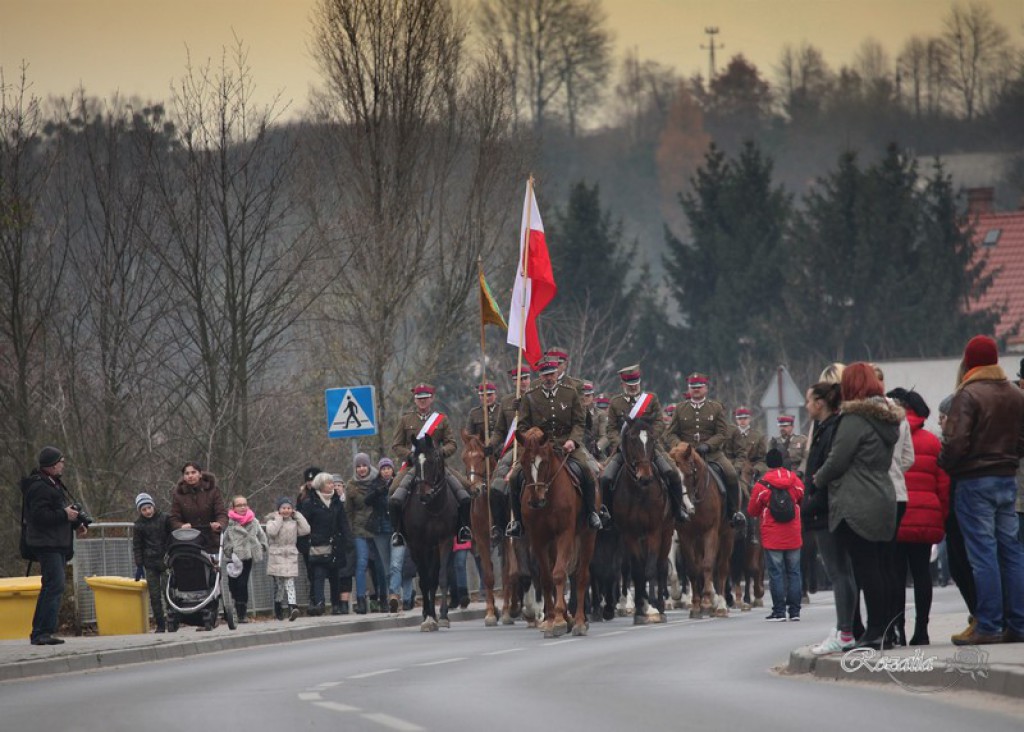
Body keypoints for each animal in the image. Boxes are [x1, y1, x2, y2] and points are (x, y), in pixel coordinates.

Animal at [403, 436, 456, 630]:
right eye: (414, 461)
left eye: (433, 461)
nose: (423, 495)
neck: (433, 508)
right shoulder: (418, 544)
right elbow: (424, 580)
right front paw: (428, 619)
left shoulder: (445, 541)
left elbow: (441, 578)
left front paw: (442, 616)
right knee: (425, 578)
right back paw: (427, 613)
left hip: (434, 550)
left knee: (434, 578)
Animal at [516, 425, 598, 638]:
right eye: (523, 462)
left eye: (543, 461)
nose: (536, 501)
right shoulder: (537, 539)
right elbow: (546, 578)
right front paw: (552, 620)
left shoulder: (565, 534)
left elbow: (559, 574)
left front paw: (560, 620)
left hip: (587, 536)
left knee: (581, 576)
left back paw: (579, 622)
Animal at [606, 417, 671, 622]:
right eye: (633, 439)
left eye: (652, 440)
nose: (645, 477)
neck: (638, 492)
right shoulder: (630, 534)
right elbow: (637, 571)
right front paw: (640, 607)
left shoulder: (654, 532)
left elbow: (650, 569)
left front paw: (652, 606)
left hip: (667, 533)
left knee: (661, 567)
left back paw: (661, 605)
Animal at [671, 440, 737, 618]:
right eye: (671, 476)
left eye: (689, 473)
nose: (686, 508)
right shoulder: (685, 536)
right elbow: (693, 569)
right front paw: (696, 605)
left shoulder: (710, 532)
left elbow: (708, 565)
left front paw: (707, 601)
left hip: (727, 536)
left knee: (721, 567)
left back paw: (720, 605)